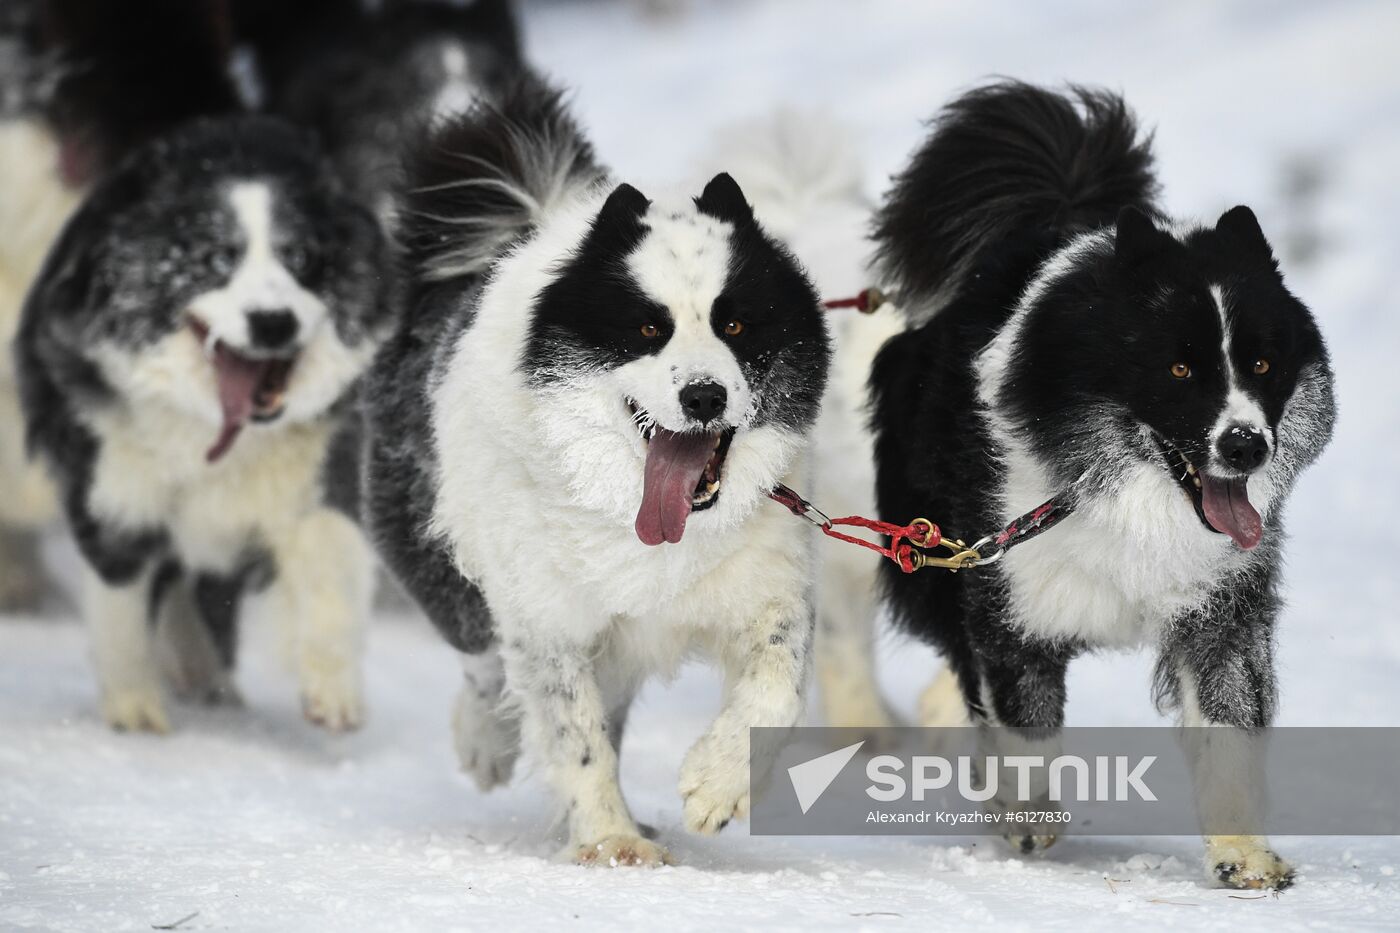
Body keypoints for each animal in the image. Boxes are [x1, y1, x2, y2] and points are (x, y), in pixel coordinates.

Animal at [17, 114, 394, 728]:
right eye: (218, 258)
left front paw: (333, 690)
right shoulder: (115, 479)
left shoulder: (320, 463)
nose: (273, 321)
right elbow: (121, 599)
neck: (220, 433)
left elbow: (330, 555)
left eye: (300, 257)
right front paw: (134, 708)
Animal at [366, 76, 834, 862]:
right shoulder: (546, 616)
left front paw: (716, 784)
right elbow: (572, 731)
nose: (703, 395)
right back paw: (486, 741)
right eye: (647, 328)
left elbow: (779, 682)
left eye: (736, 325)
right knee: (482, 654)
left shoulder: (769, 582)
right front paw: (612, 841)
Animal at [868, 81, 1338, 885]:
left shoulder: (1222, 601)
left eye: (1263, 364)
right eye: (1180, 369)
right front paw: (1027, 818)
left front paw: (1244, 854)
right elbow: (1022, 716)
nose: (1246, 446)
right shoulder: (1005, 584)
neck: (1128, 488)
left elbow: (1228, 717)